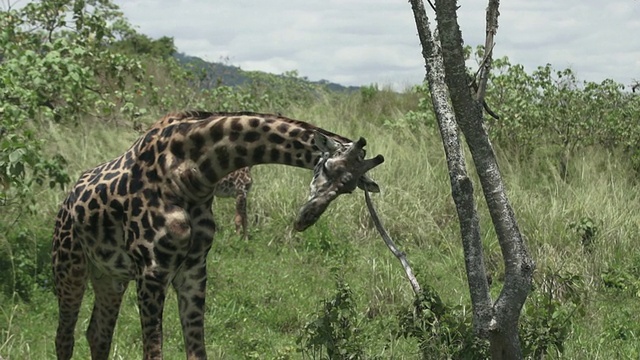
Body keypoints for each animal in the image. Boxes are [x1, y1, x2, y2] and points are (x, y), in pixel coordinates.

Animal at [52, 110, 382, 360]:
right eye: (327, 166)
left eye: (349, 188)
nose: (304, 220)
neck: (192, 175)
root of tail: (66, 202)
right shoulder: (152, 271)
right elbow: (153, 353)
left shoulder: (194, 270)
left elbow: (197, 352)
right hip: (69, 268)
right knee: (64, 337)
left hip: (109, 276)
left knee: (97, 334)